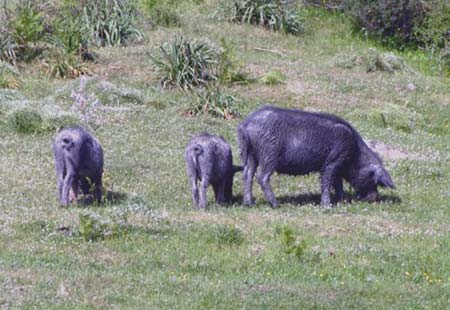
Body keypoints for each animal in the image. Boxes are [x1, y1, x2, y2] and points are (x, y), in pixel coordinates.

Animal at [237, 105, 396, 207]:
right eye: (372, 177)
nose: (375, 198)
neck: (355, 154)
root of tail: (246, 124)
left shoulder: (336, 165)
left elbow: (337, 184)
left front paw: (342, 201)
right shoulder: (332, 162)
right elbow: (327, 181)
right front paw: (327, 206)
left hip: (251, 154)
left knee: (248, 174)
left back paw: (249, 204)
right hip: (269, 153)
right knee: (262, 177)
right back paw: (276, 205)